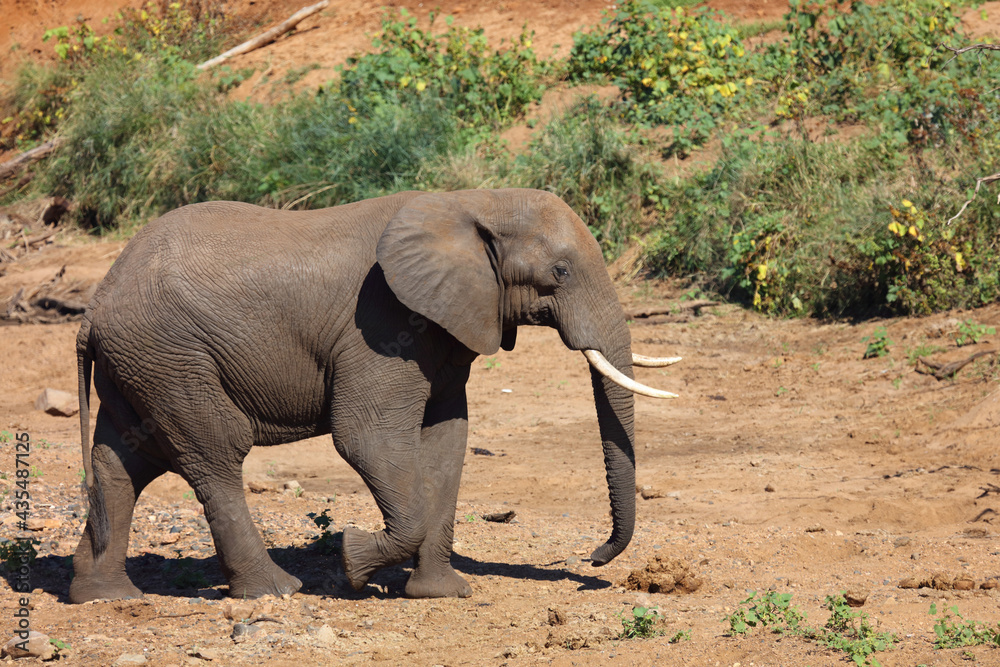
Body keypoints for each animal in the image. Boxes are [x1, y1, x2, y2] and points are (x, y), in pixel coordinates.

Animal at [68, 188, 679, 604]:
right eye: (560, 271)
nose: (594, 559)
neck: (471, 202)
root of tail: (93, 308)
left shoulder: (443, 328)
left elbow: (446, 441)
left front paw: (441, 593)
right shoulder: (382, 325)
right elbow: (366, 438)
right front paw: (354, 561)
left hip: (143, 364)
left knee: (123, 463)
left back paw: (103, 596)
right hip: (172, 357)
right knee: (215, 453)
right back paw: (277, 591)